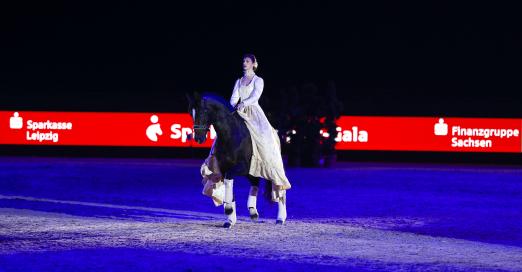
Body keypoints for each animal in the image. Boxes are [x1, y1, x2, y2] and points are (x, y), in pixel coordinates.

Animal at [185, 91, 286, 227]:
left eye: (203, 111)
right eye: (191, 113)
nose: (198, 139)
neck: (231, 135)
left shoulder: (241, 168)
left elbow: (229, 180)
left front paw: (228, 210)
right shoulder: (224, 168)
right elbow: (229, 185)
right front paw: (230, 220)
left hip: (269, 168)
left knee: (279, 188)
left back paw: (280, 218)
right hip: (252, 172)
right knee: (255, 182)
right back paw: (253, 212)